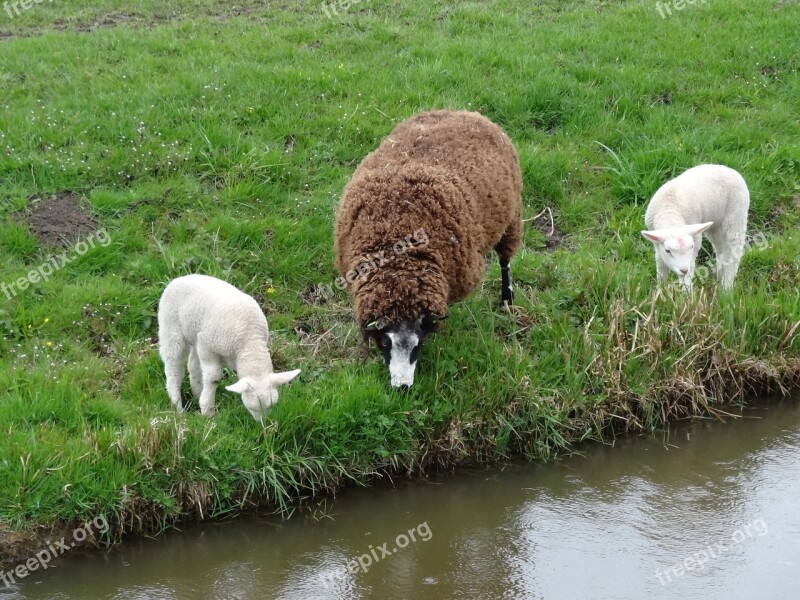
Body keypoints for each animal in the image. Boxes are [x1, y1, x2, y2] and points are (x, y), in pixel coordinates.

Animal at [157, 274, 300, 420]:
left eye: (271, 406)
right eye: (253, 407)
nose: (263, 423)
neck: (249, 341)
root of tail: (180, 278)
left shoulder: (203, 344)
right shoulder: (207, 347)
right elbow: (213, 378)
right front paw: (208, 410)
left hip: (195, 335)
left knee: (193, 366)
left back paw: (196, 394)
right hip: (171, 329)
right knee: (173, 368)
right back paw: (178, 407)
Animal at [332, 109, 524, 386]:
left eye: (418, 345)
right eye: (384, 344)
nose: (402, 388)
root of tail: (465, 112)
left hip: (511, 218)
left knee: (505, 261)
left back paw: (506, 299)